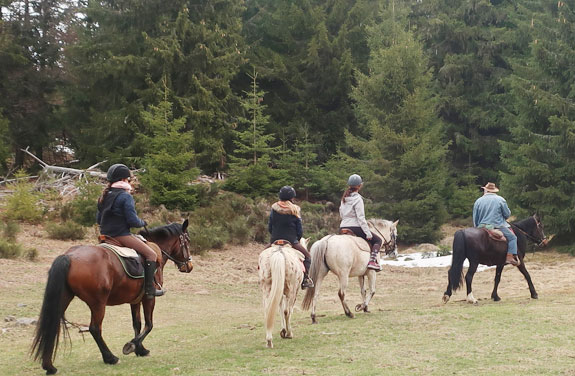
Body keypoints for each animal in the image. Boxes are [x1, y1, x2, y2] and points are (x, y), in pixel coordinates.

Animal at [31, 219, 194, 374]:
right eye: (187, 241)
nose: (189, 266)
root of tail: (69, 256)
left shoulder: (135, 300)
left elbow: (137, 324)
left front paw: (140, 349)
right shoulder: (149, 298)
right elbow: (149, 324)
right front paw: (131, 345)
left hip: (65, 298)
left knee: (53, 325)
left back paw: (49, 366)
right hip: (98, 303)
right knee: (95, 329)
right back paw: (110, 358)